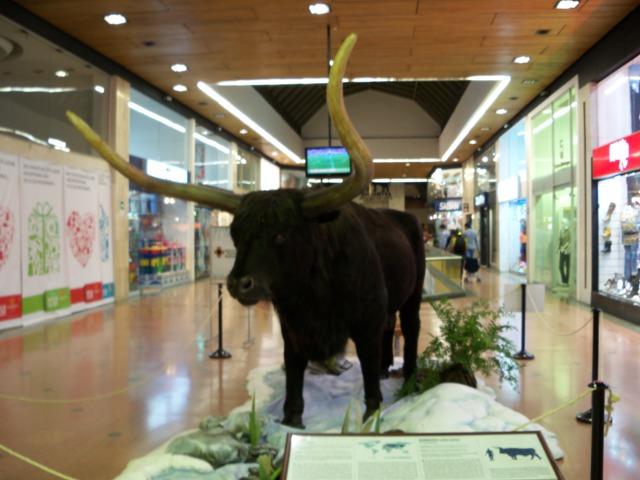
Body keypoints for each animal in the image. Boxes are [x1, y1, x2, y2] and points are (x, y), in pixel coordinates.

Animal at [226, 189, 424, 426]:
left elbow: (368, 360)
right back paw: (385, 369)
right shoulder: (292, 327)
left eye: (281, 234)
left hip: (413, 295)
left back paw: (410, 381)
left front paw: (372, 412)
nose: (238, 284)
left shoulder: (368, 324)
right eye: (235, 235)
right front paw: (291, 418)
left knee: (411, 327)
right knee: (390, 324)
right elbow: (293, 363)